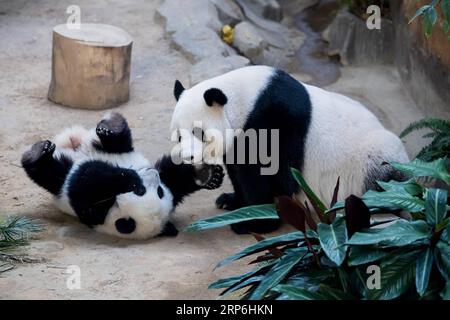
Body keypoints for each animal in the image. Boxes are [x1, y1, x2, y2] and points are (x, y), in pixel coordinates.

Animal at [22, 112, 224, 240]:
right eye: (143, 190)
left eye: (158, 191)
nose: (153, 174)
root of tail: (76, 145)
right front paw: (209, 176)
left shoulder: (93, 212)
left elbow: (86, 179)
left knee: (51, 174)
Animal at [171, 65, 410, 235]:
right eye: (179, 135)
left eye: (199, 132)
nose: (187, 157)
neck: (243, 100)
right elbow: (238, 172)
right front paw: (232, 201)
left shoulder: (272, 121)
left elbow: (263, 176)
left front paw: (252, 223)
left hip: (374, 162)